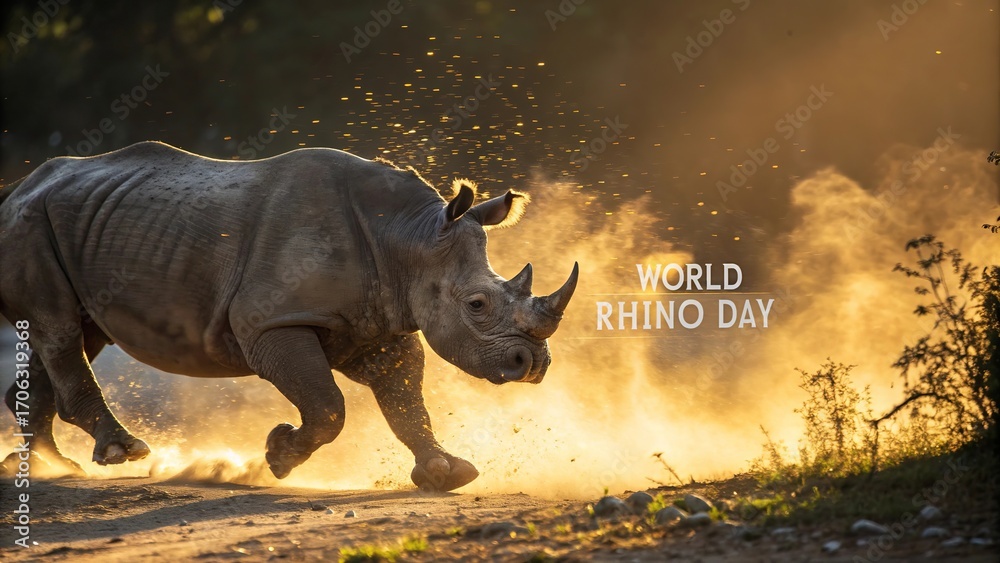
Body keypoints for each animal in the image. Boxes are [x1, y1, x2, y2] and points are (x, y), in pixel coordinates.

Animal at [0, 141, 578, 491]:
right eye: (477, 305)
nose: (533, 364)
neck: (408, 239)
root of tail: (18, 187)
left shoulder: (376, 322)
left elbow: (405, 398)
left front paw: (447, 473)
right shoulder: (271, 322)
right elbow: (328, 405)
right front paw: (278, 458)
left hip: (81, 226)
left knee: (76, 334)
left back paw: (48, 466)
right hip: (30, 226)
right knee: (59, 329)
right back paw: (122, 452)